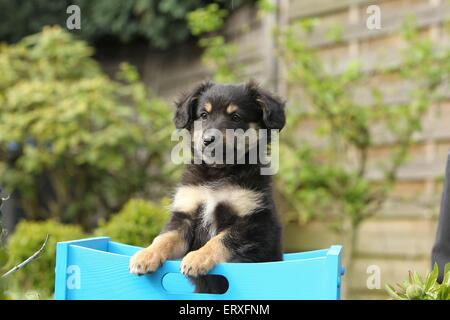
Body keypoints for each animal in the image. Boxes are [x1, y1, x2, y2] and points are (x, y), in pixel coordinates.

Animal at [129, 81, 284, 294]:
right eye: (204, 115)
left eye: (236, 117)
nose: (208, 140)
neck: (218, 173)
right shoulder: (184, 215)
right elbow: (165, 237)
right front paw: (145, 255)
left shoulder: (252, 224)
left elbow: (221, 239)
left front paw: (197, 258)